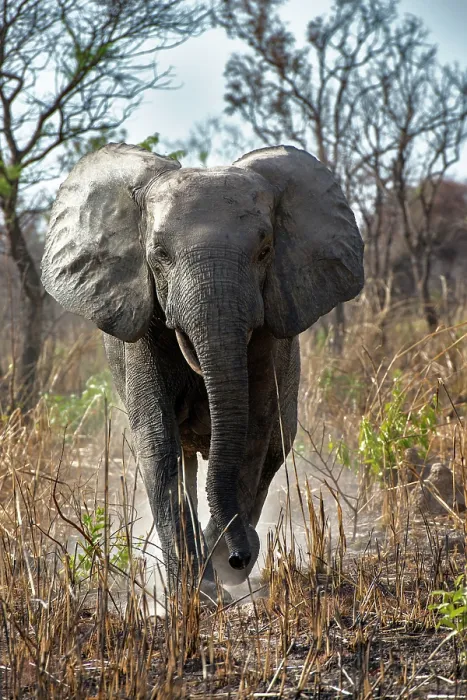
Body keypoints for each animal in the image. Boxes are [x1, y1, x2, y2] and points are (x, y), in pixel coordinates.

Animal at [41, 143, 364, 602]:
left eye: (264, 251)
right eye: (159, 255)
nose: (240, 558)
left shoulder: (267, 337)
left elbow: (253, 432)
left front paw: (219, 573)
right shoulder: (141, 324)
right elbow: (158, 439)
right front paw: (192, 593)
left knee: (272, 450)